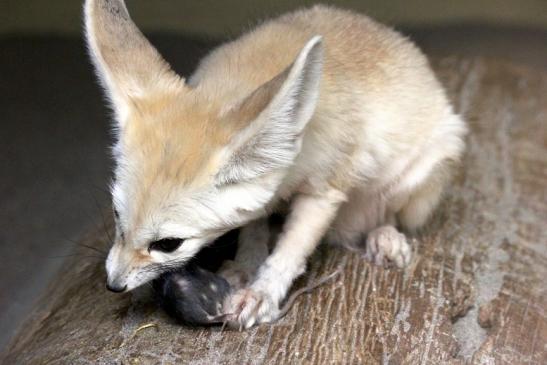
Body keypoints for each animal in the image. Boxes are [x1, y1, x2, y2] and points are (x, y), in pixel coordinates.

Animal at [85, 0, 466, 326]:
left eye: (168, 244)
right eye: (116, 214)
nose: (113, 284)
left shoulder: (324, 192)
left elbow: (289, 251)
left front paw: (263, 293)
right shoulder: (263, 193)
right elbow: (252, 227)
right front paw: (246, 265)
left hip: (418, 176)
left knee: (387, 214)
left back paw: (384, 237)